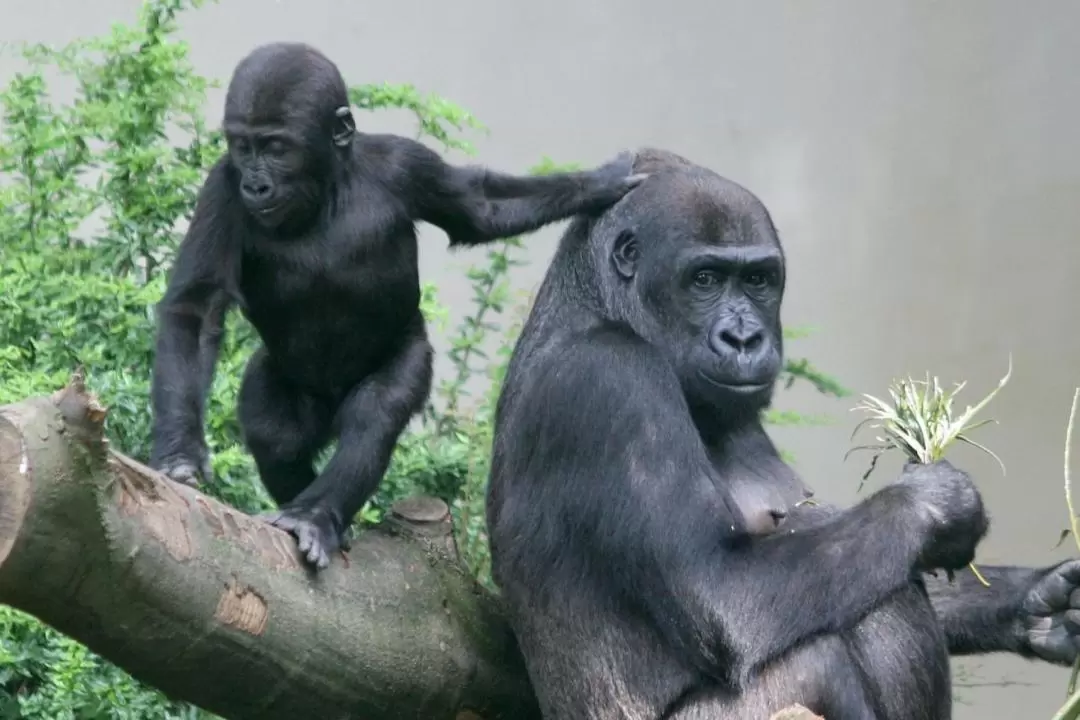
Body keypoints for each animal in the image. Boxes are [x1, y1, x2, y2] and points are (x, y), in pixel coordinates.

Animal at [147, 42, 643, 569]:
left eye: (277, 148)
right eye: (243, 147)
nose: (256, 185)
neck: (329, 183)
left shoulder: (407, 164)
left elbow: (480, 208)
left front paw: (598, 183)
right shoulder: (222, 187)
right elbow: (197, 306)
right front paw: (179, 450)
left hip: (405, 349)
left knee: (375, 415)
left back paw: (316, 516)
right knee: (276, 436)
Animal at [488, 148, 1080, 716]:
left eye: (757, 280)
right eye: (704, 280)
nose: (744, 338)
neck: (598, 303)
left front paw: (1038, 601)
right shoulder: (611, 380)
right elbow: (721, 593)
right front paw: (937, 505)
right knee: (817, 655)